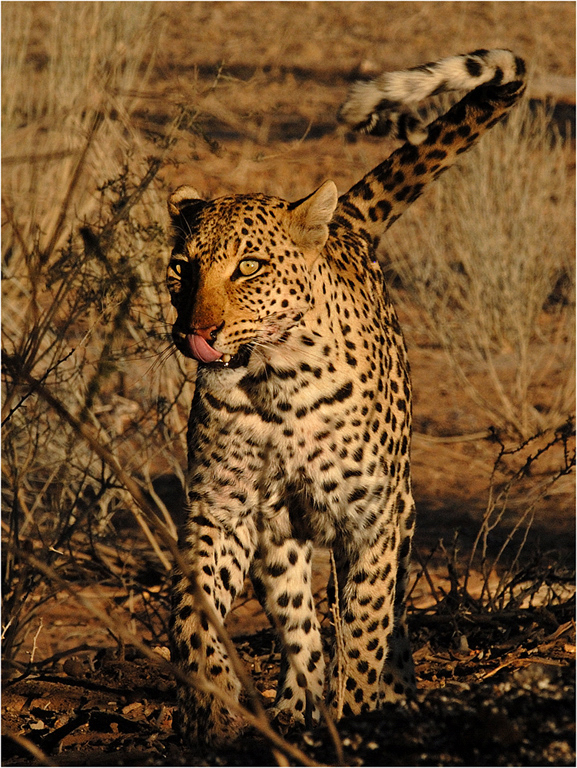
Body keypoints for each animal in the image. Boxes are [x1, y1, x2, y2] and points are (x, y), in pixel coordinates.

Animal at [167, 49, 526, 746]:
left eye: (248, 267)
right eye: (180, 268)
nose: (196, 331)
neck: (274, 384)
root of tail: (343, 227)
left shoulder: (373, 518)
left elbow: (364, 632)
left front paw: (361, 713)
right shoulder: (221, 511)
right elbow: (191, 612)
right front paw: (213, 698)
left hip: (399, 514)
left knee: (392, 620)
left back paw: (393, 697)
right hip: (280, 536)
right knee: (300, 626)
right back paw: (294, 710)